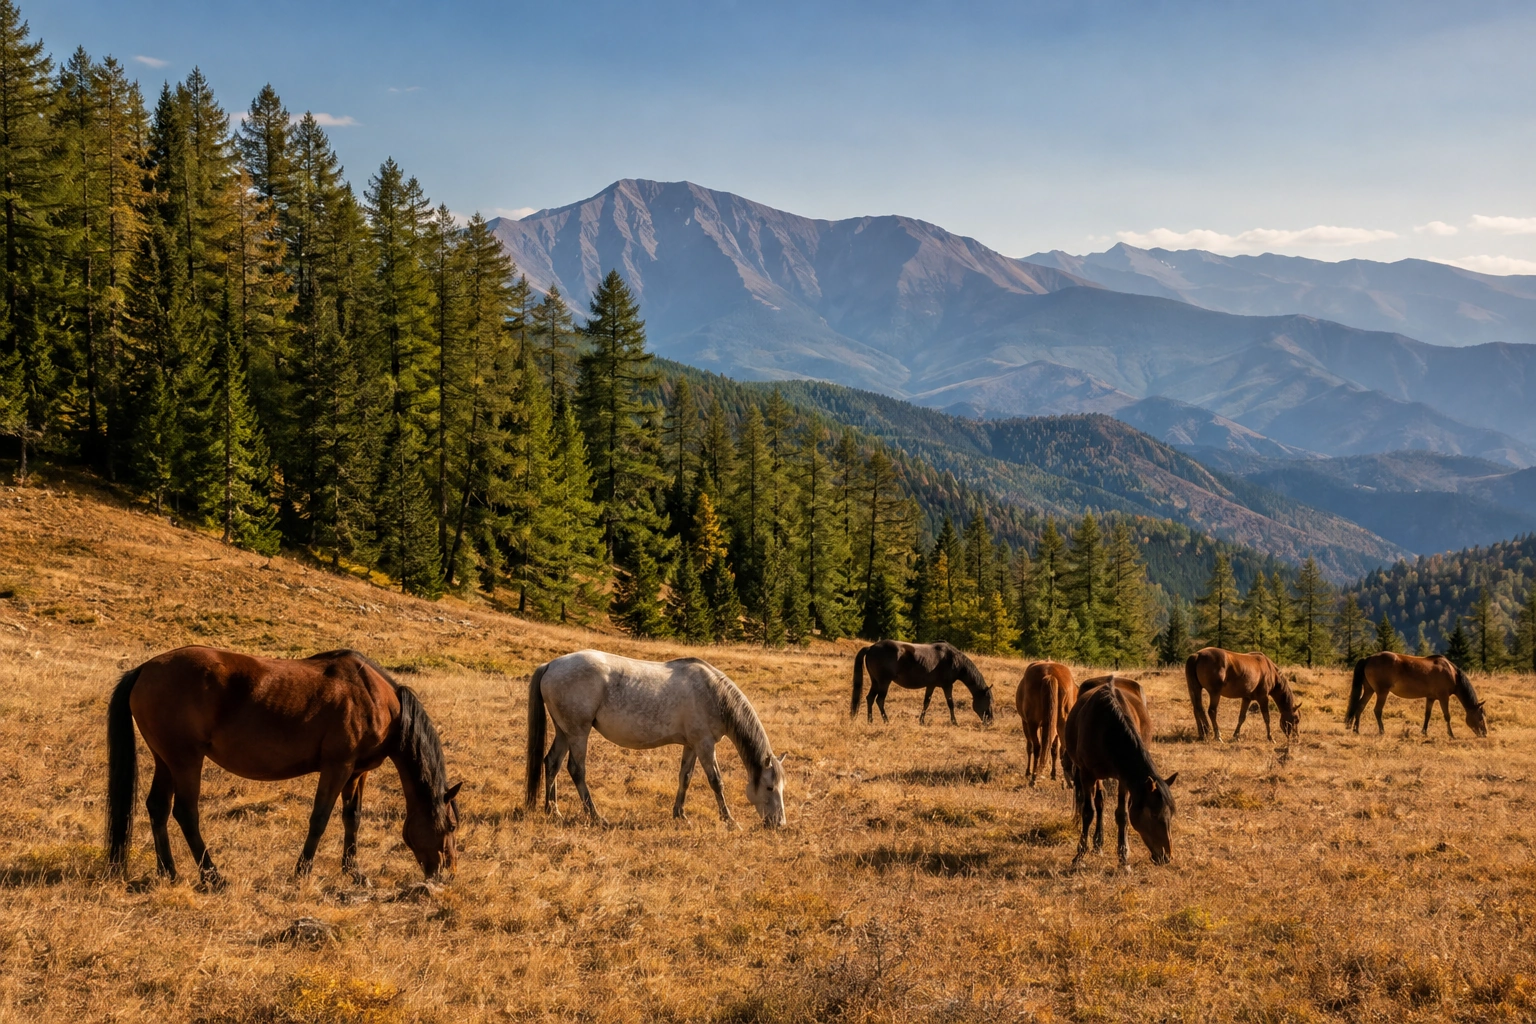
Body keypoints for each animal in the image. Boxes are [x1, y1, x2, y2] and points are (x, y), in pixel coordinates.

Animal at [107, 647, 461, 888]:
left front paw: (354, 871)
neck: (375, 698)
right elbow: (320, 819)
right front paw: (302, 871)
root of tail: (144, 669)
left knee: (158, 807)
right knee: (185, 812)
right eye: (451, 827)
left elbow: (353, 818)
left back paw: (168, 871)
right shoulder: (338, 766)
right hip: (185, 760)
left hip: (164, 759)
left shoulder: (358, 772)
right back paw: (213, 876)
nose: (447, 873)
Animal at [525, 651, 787, 826]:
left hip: (564, 732)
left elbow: (685, 778)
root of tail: (551, 665)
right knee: (576, 769)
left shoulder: (692, 745)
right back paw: (596, 816)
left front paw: (680, 814)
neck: (714, 694)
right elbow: (716, 781)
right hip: (578, 732)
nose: (779, 823)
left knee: (552, 763)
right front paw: (729, 820)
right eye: (770, 787)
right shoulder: (705, 744)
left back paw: (552, 810)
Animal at [851, 640, 994, 725]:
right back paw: (886, 721)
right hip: (884, 682)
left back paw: (870, 721)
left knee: (870, 698)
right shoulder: (947, 686)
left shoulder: (931, 685)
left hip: (875, 682)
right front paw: (954, 722)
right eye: (989, 701)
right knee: (879, 700)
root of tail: (870, 648)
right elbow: (950, 704)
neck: (953, 659)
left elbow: (926, 702)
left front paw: (922, 721)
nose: (990, 721)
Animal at [1062, 678, 1178, 867]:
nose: (1166, 857)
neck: (1105, 729)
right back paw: (1097, 843)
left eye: (1171, 815)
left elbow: (1122, 814)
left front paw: (1123, 857)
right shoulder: (1087, 775)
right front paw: (1079, 855)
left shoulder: (1124, 779)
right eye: (1154, 814)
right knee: (1099, 802)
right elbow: (1088, 812)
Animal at [1346, 652, 1488, 738]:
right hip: (1382, 692)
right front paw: (1451, 734)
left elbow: (1427, 715)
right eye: (1480, 717)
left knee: (1360, 707)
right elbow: (1447, 716)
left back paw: (1356, 730)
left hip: (1369, 690)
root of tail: (1368, 658)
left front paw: (1424, 732)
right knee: (1377, 710)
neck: (1452, 673)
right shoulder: (1443, 697)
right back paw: (1382, 731)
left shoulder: (1430, 698)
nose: (1485, 733)